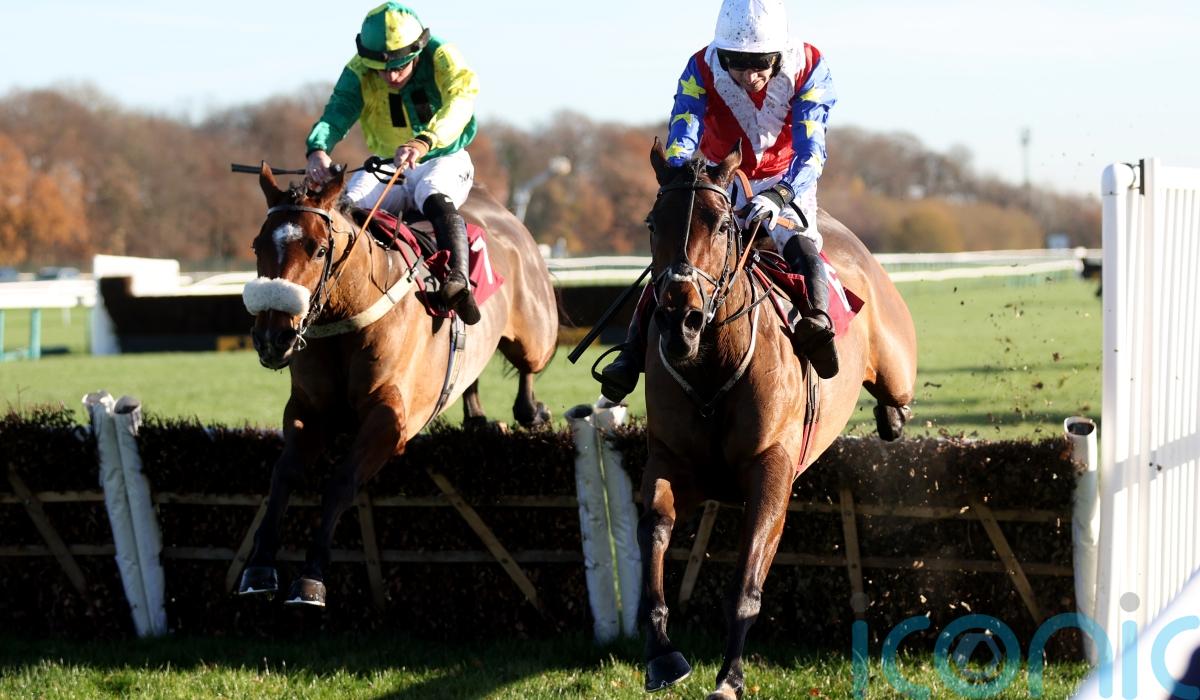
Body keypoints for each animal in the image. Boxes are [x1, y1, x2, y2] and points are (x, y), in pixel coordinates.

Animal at [235, 163, 558, 606]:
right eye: (257, 246)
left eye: (318, 249)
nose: (273, 337)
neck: (349, 315)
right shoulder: (308, 409)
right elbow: (283, 474)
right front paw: (259, 567)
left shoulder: (390, 418)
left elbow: (341, 481)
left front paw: (311, 577)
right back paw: (477, 417)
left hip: (535, 332)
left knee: (529, 366)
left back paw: (530, 410)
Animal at [637, 141, 917, 699]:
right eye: (654, 223)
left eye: (722, 224)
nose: (680, 322)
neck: (711, 367)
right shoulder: (672, 461)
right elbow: (655, 529)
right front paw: (662, 653)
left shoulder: (771, 469)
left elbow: (747, 582)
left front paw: (729, 676)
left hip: (897, 365)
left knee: (897, 397)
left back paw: (891, 416)